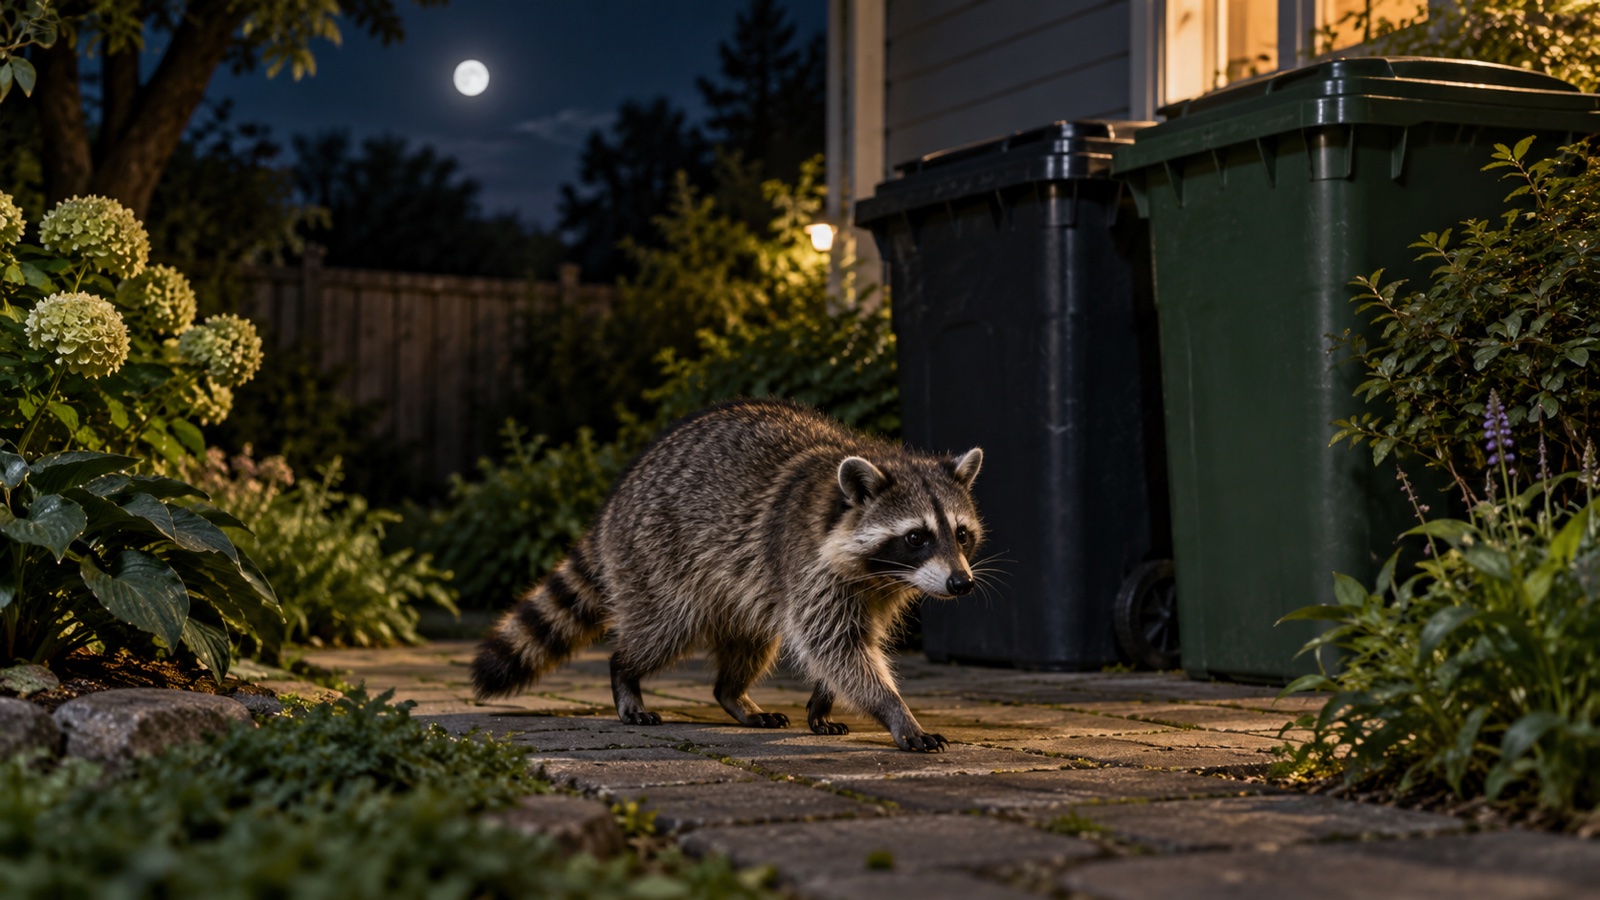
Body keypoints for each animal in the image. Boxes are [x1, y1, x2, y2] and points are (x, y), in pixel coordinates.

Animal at [470, 398, 984, 752]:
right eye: (916, 537)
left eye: (961, 535)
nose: (962, 584)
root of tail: (612, 505)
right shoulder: (806, 564)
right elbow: (834, 644)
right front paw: (894, 710)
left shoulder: (878, 588)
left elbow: (847, 644)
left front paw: (824, 697)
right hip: (657, 559)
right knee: (663, 629)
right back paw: (626, 675)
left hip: (738, 588)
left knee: (751, 642)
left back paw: (733, 694)